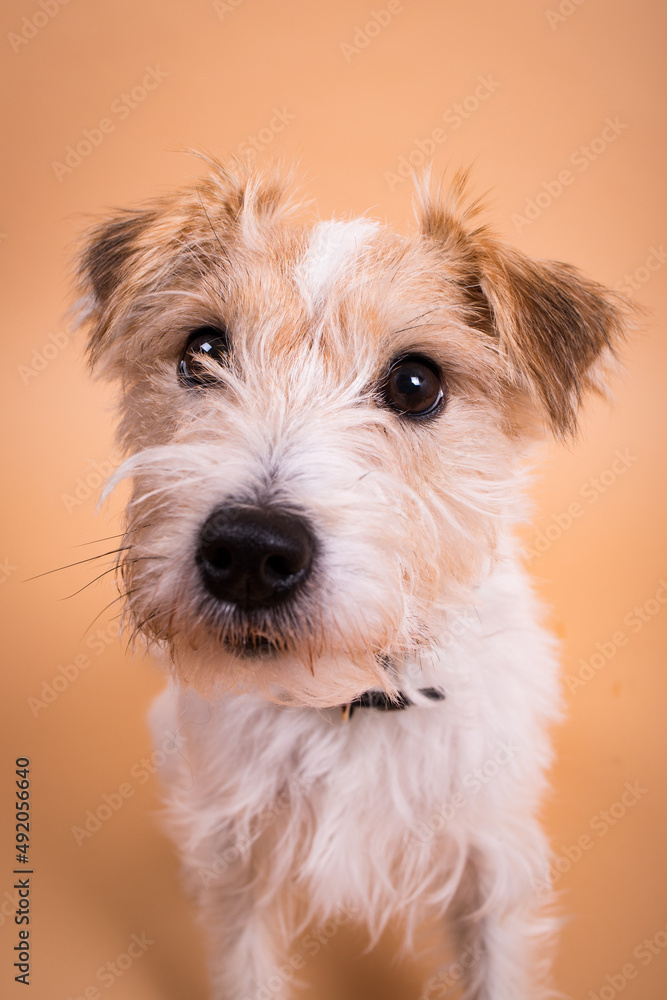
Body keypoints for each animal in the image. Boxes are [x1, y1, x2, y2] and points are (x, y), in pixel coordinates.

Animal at [77, 158, 628, 1000]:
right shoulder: (238, 868)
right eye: (202, 350)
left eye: (415, 383)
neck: (347, 703)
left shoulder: (490, 864)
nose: (249, 551)